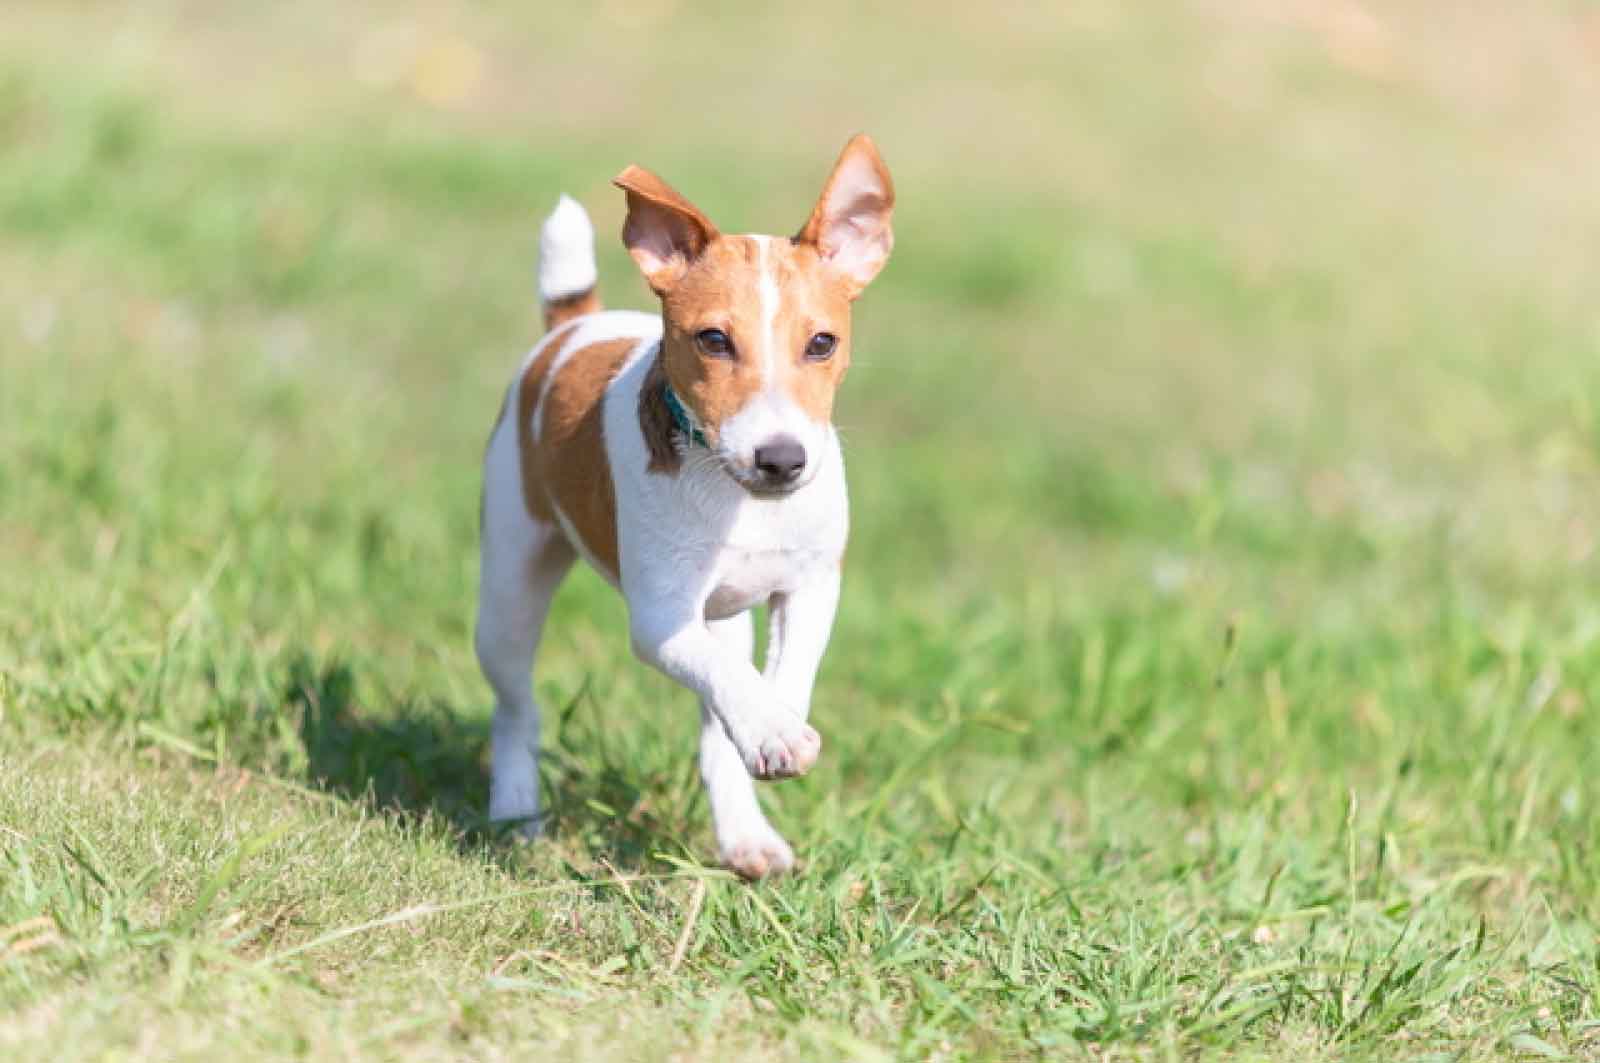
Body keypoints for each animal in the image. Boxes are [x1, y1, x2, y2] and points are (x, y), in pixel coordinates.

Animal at [473, 136, 902, 877]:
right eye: (713, 340)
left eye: (822, 343)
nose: (782, 458)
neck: (739, 495)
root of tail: (574, 325)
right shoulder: (662, 618)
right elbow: (727, 677)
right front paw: (771, 729)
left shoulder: (812, 584)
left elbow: (783, 671)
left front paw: (773, 723)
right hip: (508, 592)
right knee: (516, 708)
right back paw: (517, 809)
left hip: (721, 615)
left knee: (716, 713)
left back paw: (745, 835)